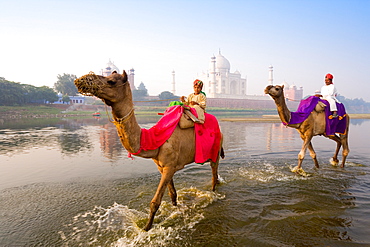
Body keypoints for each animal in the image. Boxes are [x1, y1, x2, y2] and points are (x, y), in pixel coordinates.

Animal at [74, 70, 224, 231]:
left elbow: (155, 202)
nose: (82, 80)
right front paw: (175, 209)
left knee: (213, 173)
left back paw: (213, 193)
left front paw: (146, 228)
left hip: (215, 150)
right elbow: (172, 194)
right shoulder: (162, 166)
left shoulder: (169, 166)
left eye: (111, 81)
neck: (154, 139)